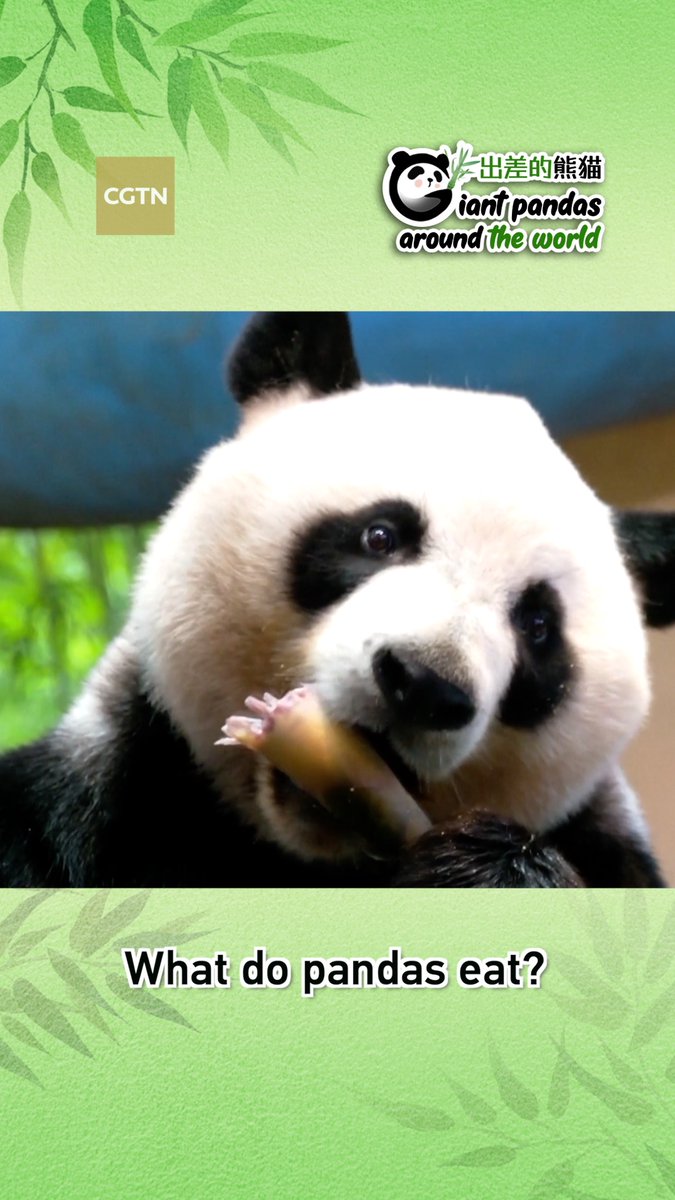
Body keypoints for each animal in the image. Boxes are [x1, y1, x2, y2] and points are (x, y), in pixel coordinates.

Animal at [0, 311, 673, 888]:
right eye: (380, 536)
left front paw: (487, 866)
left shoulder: (606, 844)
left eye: (536, 625)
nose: (423, 683)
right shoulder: (98, 800)